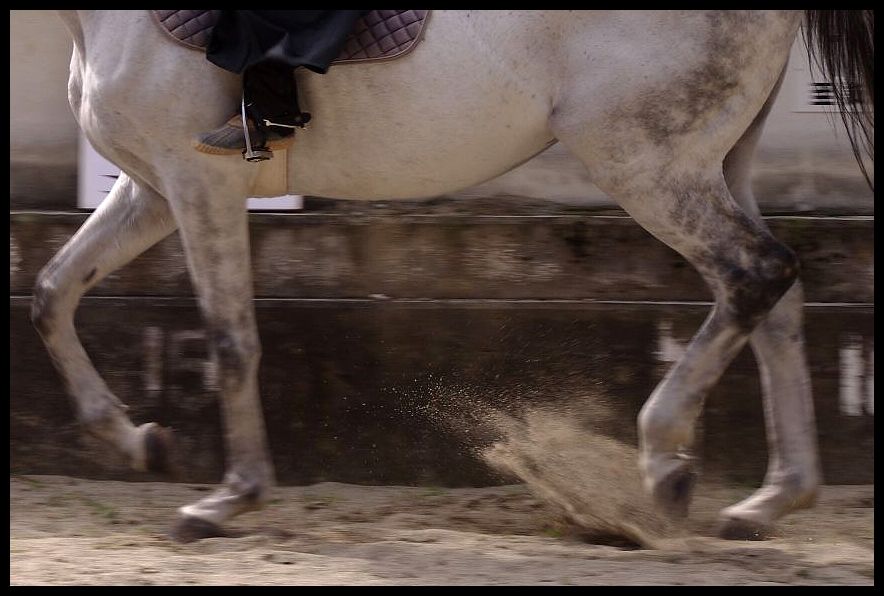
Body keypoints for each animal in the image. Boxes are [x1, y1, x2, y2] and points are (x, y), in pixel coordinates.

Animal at [38, 9, 872, 544]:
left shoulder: (198, 181)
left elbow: (229, 341)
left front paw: (227, 498)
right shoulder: (153, 189)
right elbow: (54, 293)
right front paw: (136, 442)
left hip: (645, 160)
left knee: (753, 273)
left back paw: (664, 464)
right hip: (715, 162)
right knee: (776, 298)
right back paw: (771, 501)